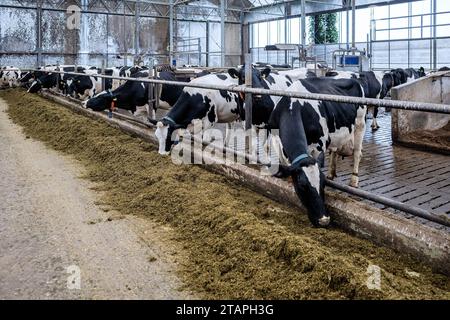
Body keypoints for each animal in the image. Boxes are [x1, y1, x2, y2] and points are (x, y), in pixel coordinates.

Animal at [268, 77, 366, 228]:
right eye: (302, 185)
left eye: (323, 183)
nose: (324, 220)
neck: (292, 106)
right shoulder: (276, 140)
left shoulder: (319, 145)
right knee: (335, 151)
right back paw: (332, 172)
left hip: (360, 124)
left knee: (357, 153)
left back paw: (354, 180)